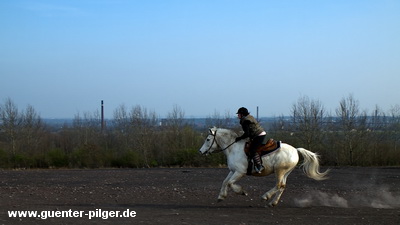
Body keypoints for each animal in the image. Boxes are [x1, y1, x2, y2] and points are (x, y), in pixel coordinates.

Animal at [198, 127, 330, 207]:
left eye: (208, 139)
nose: (200, 151)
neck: (233, 148)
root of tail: (295, 150)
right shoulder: (233, 171)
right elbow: (225, 182)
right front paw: (221, 196)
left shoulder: (240, 172)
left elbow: (230, 183)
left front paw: (242, 192)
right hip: (285, 172)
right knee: (282, 186)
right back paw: (273, 202)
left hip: (279, 171)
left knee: (278, 185)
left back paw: (265, 197)